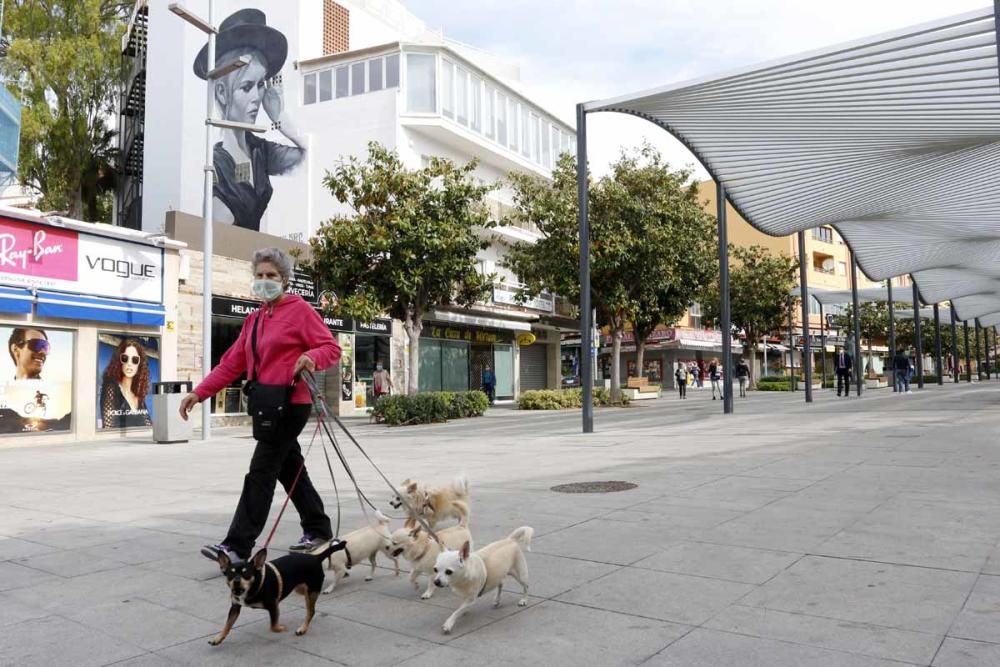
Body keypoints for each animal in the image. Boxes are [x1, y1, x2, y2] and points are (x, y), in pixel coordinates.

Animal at [209, 544, 346, 648]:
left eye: (246, 574)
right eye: (230, 574)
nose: (236, 581)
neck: (254, 586)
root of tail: (316, 557)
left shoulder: (273, 606)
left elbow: (273, 626)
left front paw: (281, 628)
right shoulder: (235, 607)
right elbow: (227, 625)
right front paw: (218, 638)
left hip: (311, 591)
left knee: (311, 611)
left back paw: (302, 628)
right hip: (301, 589)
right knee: (309, 606)